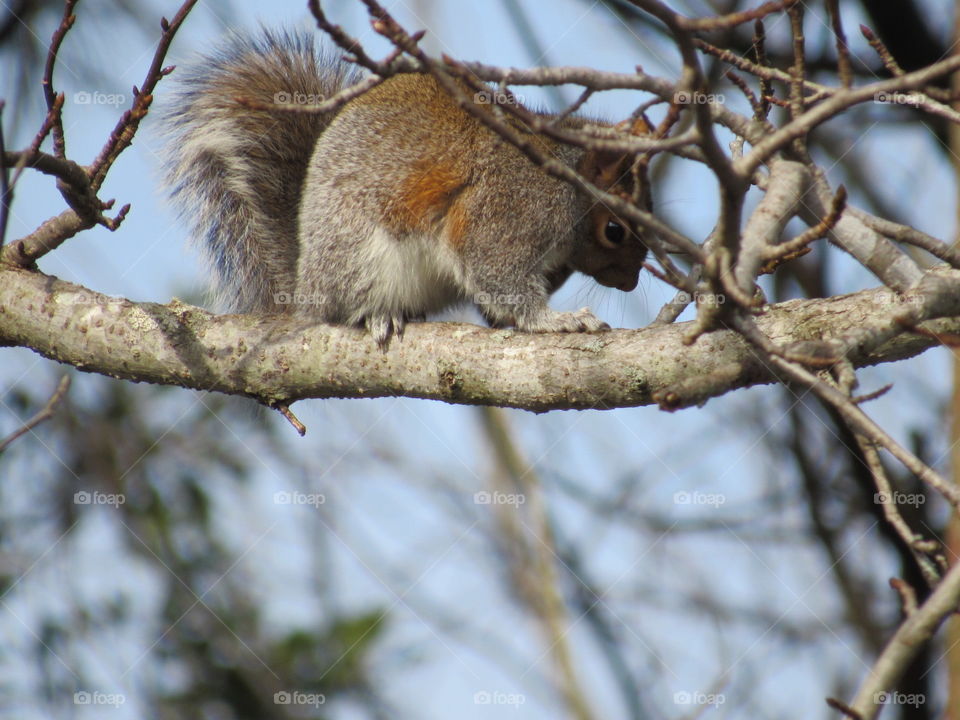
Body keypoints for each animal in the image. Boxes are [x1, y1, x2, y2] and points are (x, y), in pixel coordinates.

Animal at [161, 29, 649, 348]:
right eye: (615, 231)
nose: (629, 284)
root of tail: (304, 287)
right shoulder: (513, 204)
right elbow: (496, 269)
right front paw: (557, 321)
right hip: (360, 256)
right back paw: (378, 314)